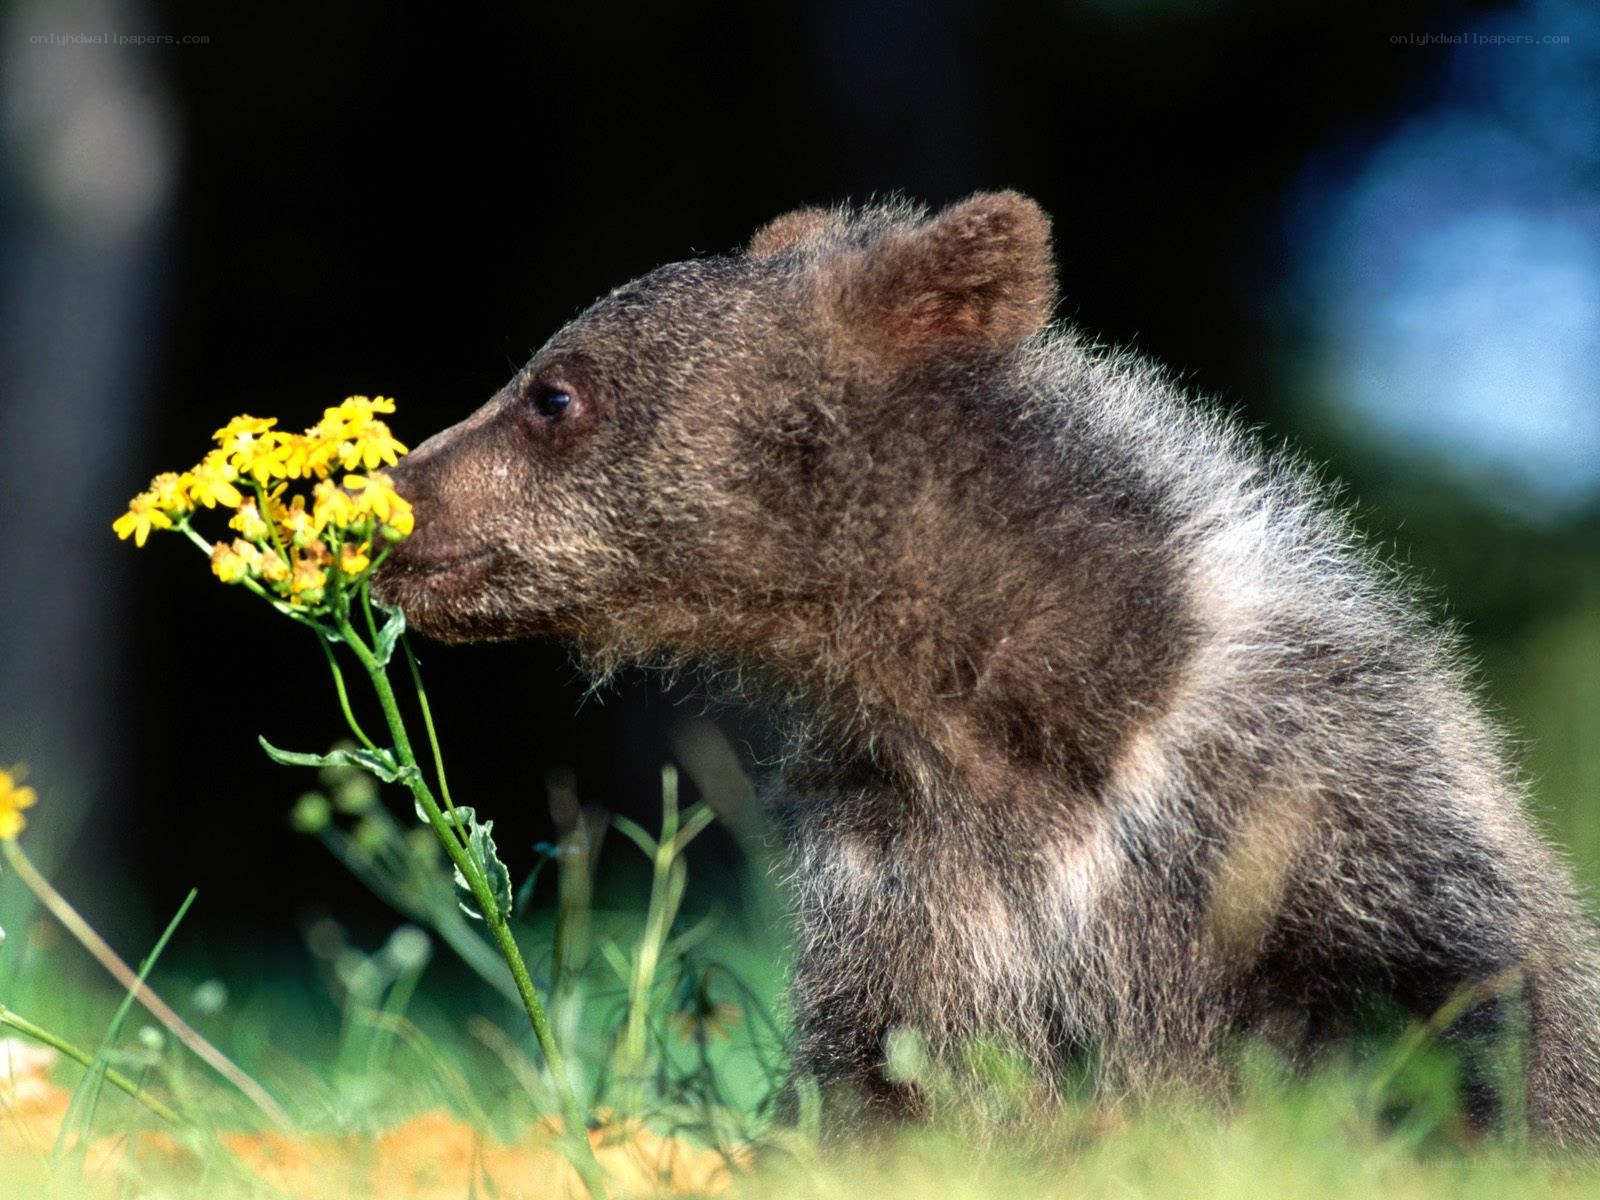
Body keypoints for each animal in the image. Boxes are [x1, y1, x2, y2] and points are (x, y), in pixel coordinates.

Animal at [374, 191, 1600, 1144]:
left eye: (552, 393)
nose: (394, 494)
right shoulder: (903, 873)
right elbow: (882, 1071)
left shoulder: (1292, 799)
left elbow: (1428, 1017)